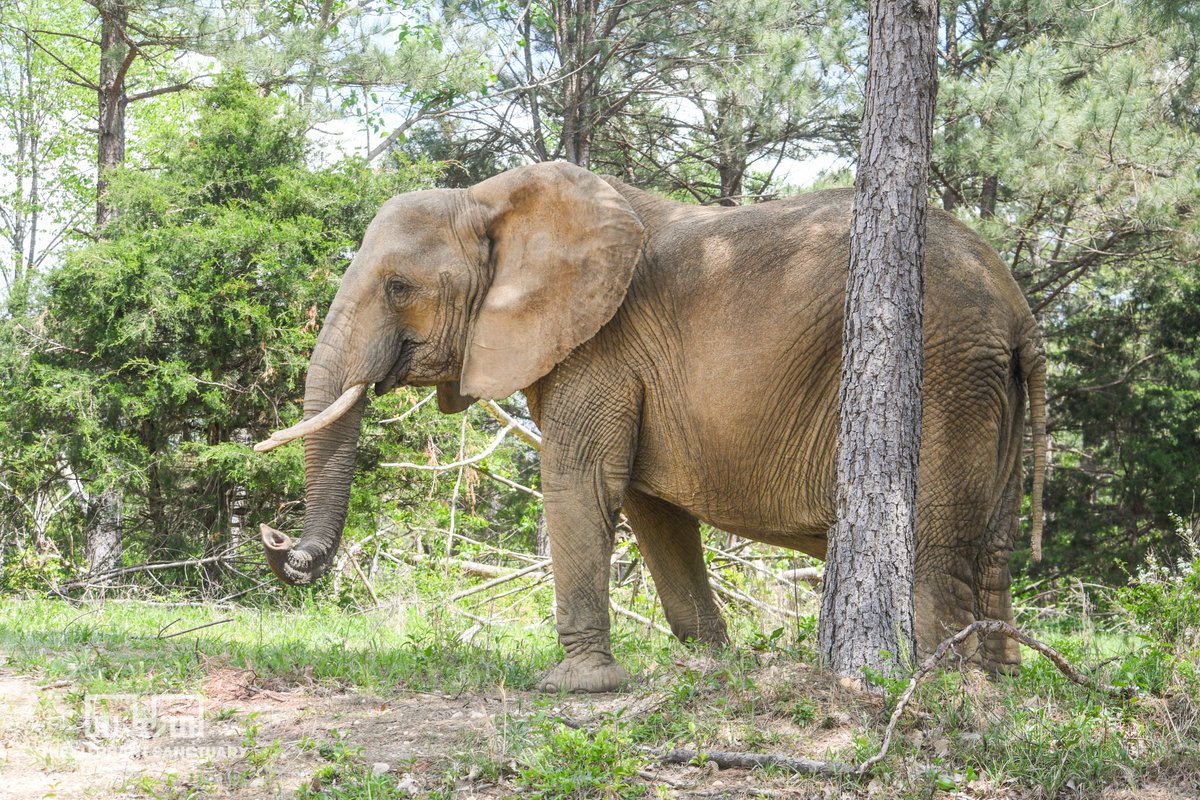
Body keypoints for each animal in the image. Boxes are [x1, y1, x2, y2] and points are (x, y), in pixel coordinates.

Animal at [258, 159, 1046, 690]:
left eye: (399, 287)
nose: (278, 543)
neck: (491, 200)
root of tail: (1018, 310)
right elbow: (652, 509)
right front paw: (710, 664)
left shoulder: (601, 346)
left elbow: (580, 485)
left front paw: (575, 688)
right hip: (983, 383)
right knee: (992, 549)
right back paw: (1004, 683)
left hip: (945, 371)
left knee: (937, 549)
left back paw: (945, 692)